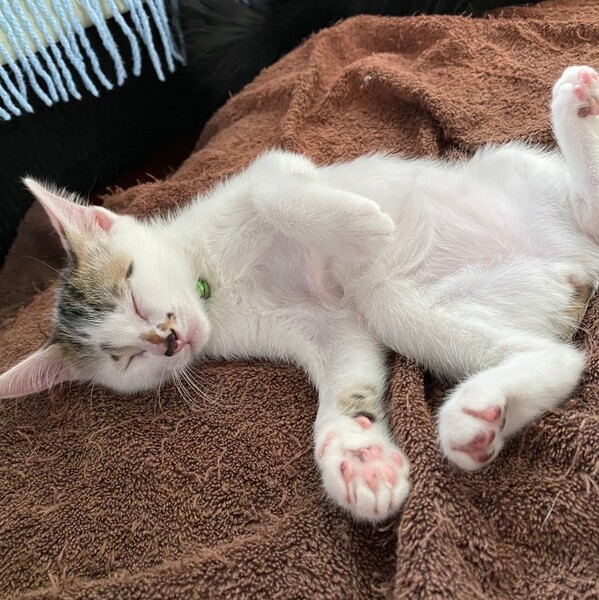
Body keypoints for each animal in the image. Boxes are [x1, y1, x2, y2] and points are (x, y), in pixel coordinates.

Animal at [1, 65, 598, 522]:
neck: (213, 284)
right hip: (404, 305)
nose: (167, 338)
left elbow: (275, 189)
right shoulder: (328, 328)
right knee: (560, 355)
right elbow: (349, 377)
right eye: (122, 359)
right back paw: (478, 413)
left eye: (129, 289)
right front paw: (357, 457)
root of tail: (575, 260)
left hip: (510, 167)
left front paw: (362, 226)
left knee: (580, 206)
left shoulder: (272, 168)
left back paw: (576, 108)